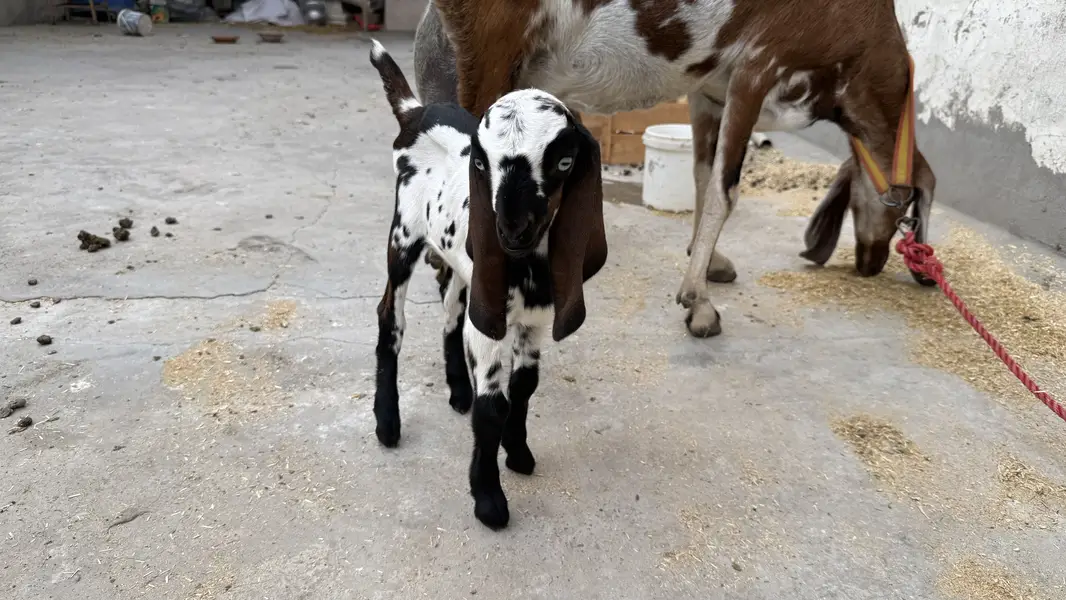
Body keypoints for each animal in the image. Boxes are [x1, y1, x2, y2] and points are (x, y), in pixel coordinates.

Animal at [368, 40, 608, 530]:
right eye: (481, 162)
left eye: (564, 161)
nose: (512, 231)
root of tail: (416, 112)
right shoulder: (492, 319)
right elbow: (493, 405)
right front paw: (489, 499)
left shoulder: (532, 319)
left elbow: (525, 385)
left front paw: (517, 453)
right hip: (403, 234)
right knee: (391, 318)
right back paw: (388, 423)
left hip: (465, 270)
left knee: (450, 315)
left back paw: (458, 391)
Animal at [421, 0, 938, 339]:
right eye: (910, 204)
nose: (874, 264)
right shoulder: (758, 66)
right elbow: (726, 190)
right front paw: (698, 303)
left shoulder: (709, 89)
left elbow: (702, 176)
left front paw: (708, 269)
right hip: (491, 45)